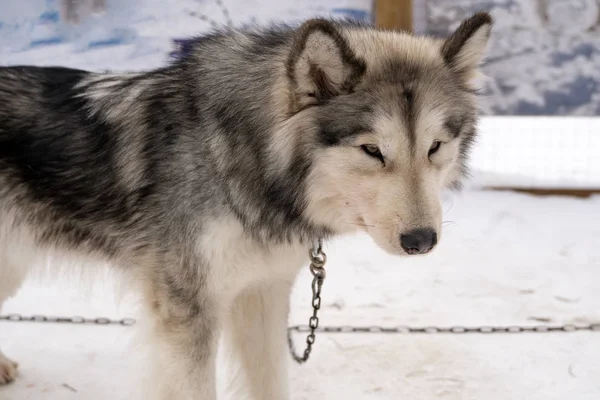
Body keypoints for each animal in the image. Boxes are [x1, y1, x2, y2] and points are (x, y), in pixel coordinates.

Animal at [0, 10, 492, 398]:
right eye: (372, 150)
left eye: (435, 147)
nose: (422, 240)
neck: (243, 163)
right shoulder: (187, 314)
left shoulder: (263, 294)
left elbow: (270, 384)